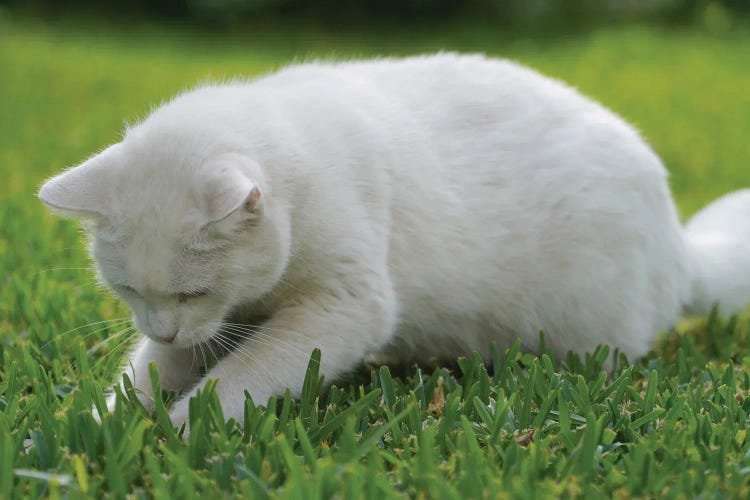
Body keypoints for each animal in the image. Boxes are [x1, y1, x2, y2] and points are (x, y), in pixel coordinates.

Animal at [39, 53, 750, 430]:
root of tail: (680, 247)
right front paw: (97, 427)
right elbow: (145, 375)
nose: (161, 327)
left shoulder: (344, 306)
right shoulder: (204, 331)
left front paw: (179, 432)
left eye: (193, 291)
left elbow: (241, 376)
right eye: (127, 290)